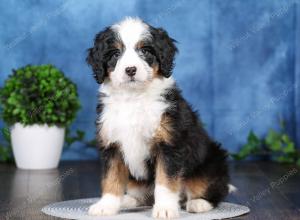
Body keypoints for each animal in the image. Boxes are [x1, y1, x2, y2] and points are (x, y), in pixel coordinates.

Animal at [86, 16, 230, 218]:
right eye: (115, 54)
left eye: (145, 51)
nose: (130, 70)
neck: (133, 98)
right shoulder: (111, 144)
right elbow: (111, 178)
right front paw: (106, 206)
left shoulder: (169, 144)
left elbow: (165, 182)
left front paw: (165, 209)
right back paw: (129, 200)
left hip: (212, 162)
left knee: (213, 189)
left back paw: (198, 203)